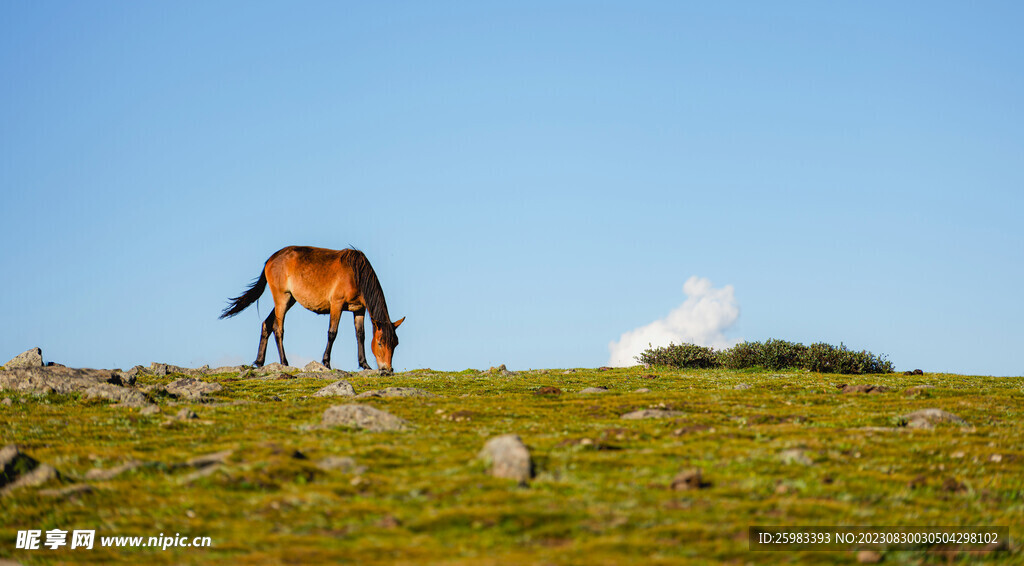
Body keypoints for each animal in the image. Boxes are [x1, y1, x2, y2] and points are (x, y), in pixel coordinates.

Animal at [219, 245, 403, 370]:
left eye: (395, 344)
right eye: (380, 343)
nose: (387, 369)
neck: (356, 274)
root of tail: (272, 258)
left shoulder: (359, 309)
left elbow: (361, 335)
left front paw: (364, 365)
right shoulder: (336, 305)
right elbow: (332, 333)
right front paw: (326, 363)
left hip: (290, 300)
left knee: (267, 324)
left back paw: (259, 361)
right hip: (282, 298)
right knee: (278, 328)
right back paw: (284, 362)